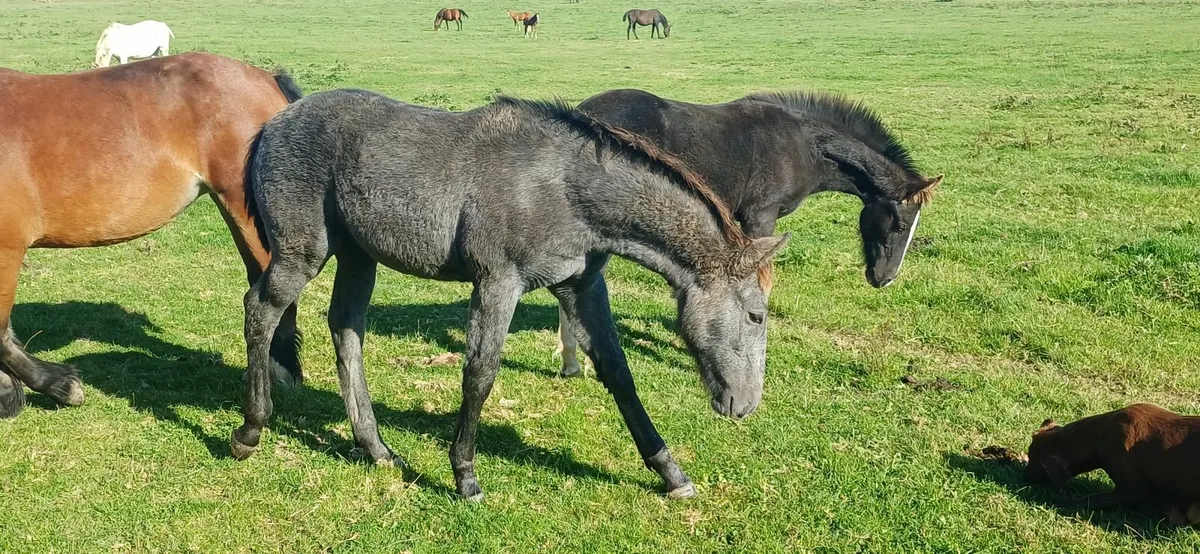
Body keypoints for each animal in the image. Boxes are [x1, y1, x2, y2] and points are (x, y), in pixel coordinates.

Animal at [232, 90, 789, 502]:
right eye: (756, 315)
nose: (746, 405)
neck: (562, 187)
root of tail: (273, 124)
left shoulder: (580, 287)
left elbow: (619, 373)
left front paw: (670, 472)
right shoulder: (498, 283)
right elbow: (480, 374)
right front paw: (465, 476)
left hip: (357, 257)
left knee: (346, 329)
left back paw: (376, 449)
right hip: (302, 253)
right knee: (261, 310)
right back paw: (249, 431)